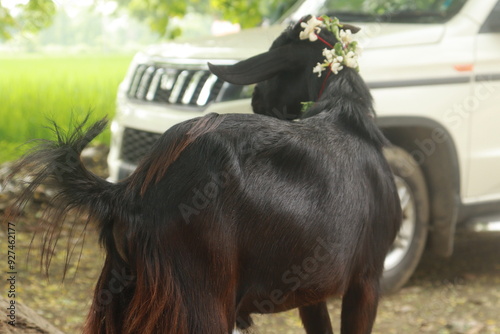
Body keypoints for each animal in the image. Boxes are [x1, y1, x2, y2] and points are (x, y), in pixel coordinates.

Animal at [5, 15, 400, 334]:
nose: (256, 99)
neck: (345, 113)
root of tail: (130, 192)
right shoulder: (367, 278)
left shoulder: (314, 289)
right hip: (201, 298)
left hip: (118, 296)